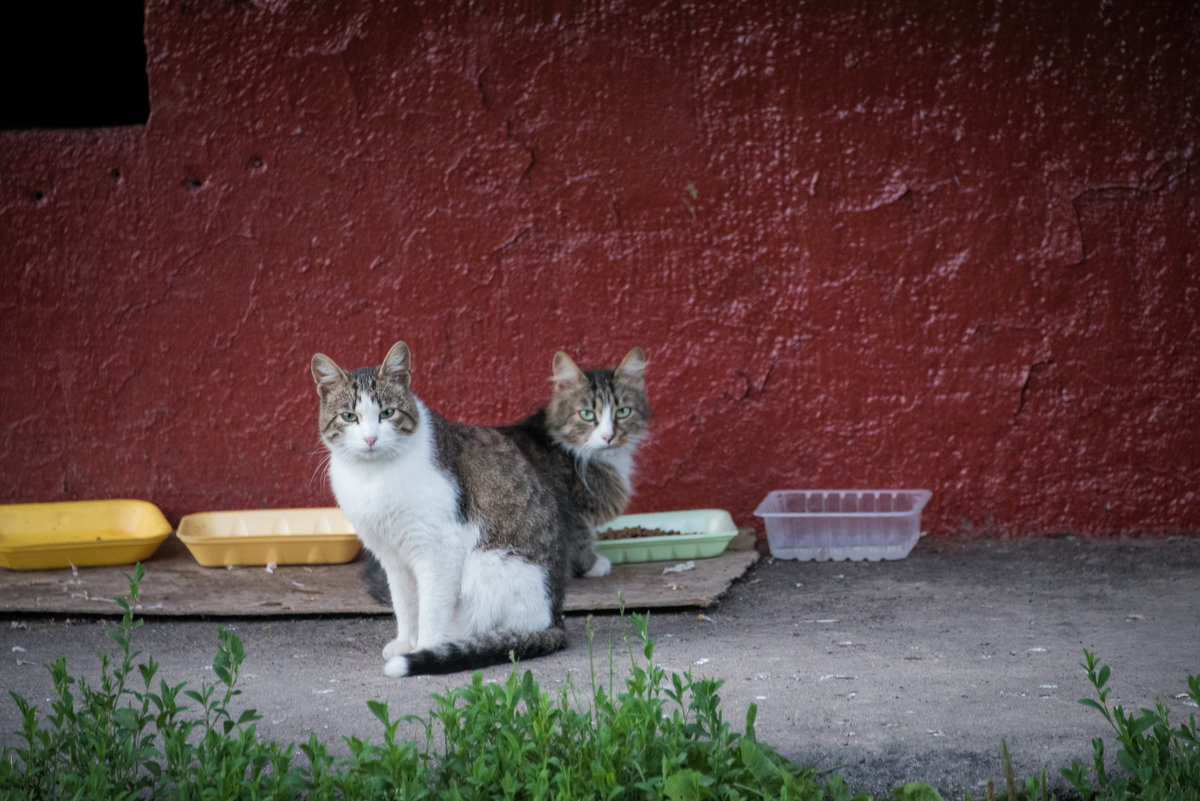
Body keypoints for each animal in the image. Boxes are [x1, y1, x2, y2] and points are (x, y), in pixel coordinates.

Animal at [309, 340, 648, 676]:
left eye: (387, 413)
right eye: (349, 417)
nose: (370, 439)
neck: (373, 475)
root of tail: (554, 619)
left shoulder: (438, 549)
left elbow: (430, 608)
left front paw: (424, 648)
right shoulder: (392, 557)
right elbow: (404, 604)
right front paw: (406, 641)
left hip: (485, 568)